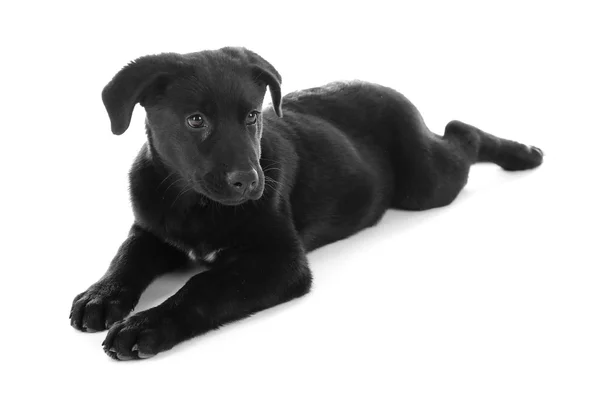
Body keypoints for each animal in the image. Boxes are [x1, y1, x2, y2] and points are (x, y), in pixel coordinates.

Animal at [70, 47, 544, 360]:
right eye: (195, 120)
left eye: (252, 116)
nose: (250, 182)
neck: (194, 203)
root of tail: (386, 85)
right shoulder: (150, 230)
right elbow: (126, 258)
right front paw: (101, 296)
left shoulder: (279, 260)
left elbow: (202, 286)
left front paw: (145, 324)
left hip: (426, 184)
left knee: (461, 130)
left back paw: (522, 154)